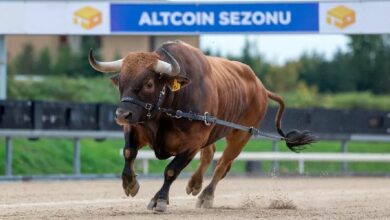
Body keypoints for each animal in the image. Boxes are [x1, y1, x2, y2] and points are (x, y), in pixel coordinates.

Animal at [87, 40, 314, 212]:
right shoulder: (136, 128)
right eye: (121, 81)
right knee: (209, 154)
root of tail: (261, 88)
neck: (170, 106)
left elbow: (171, 170)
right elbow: (128, 152)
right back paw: (194, 184)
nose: (122, 115)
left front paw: (159, 200)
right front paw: (130, 184)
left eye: (149, 83)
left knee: (222, 165)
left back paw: (206, 196)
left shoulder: (192, 143)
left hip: (240, 136)